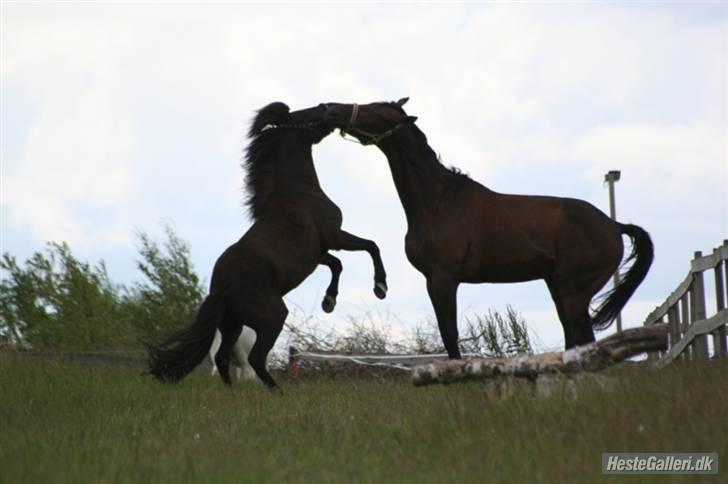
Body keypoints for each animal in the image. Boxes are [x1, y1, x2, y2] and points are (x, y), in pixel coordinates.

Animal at [145, 100, 390, 388]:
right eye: (306, 114)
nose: (330, 109)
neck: (298, 193)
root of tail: (220, 290)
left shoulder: (320, 253)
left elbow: (337, 264)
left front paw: (329, 302)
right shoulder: (335, 236)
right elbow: (371, 246)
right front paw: (380, 287)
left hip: (233, 324)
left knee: (223, 358)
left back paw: (233, 393)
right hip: (271, 319)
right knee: (255, 359)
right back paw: (277, 391)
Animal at [324, 98, 656, 356]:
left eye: (376, 112)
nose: (333, 110)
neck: (438, 199)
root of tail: (613, 225)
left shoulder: (442, 279)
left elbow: (449, 335)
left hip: (574, 291)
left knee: (583, 339)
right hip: (558, 287)